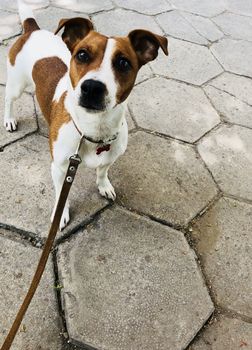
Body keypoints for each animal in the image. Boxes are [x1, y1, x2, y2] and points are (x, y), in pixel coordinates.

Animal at [3, 1, 168, 231]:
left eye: (124, 63)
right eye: (82, 55)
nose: (92, 87)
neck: (93, 131)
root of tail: (32, 29)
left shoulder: (110, 157)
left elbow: (102, 171)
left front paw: (104, 185)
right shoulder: (60, 168)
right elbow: (60, 196)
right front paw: (61, 213)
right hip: (16, 85)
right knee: (9, 100)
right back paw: (9, 119)